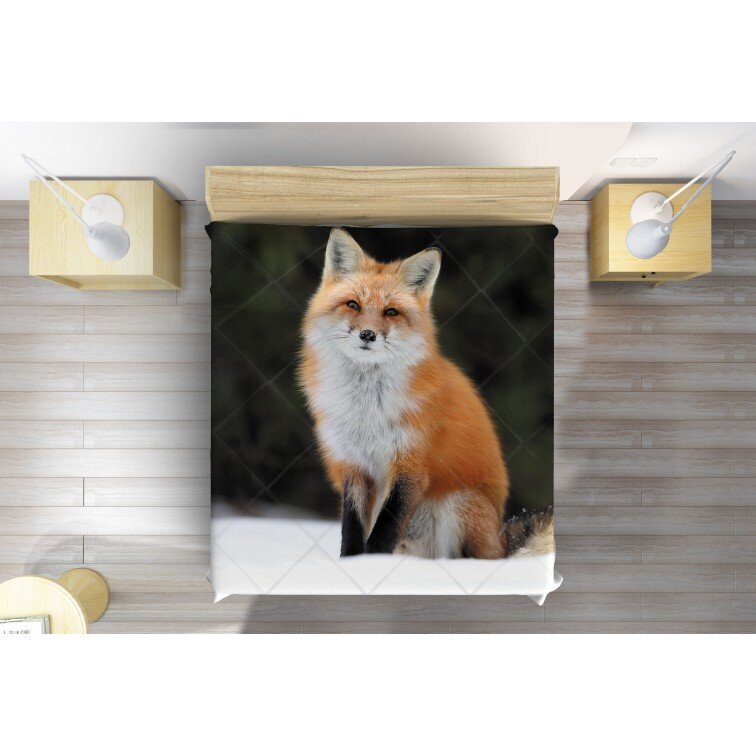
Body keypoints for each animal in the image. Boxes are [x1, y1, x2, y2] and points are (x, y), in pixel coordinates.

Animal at [299, 228, 511, 559]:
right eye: (353, 305)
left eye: (391, 312)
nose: (368, 335)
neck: (367, 410)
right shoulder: (353, 465)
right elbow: (353, 529)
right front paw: (352, 565)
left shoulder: (410, 466)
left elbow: (384, 530)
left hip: (458, 503)